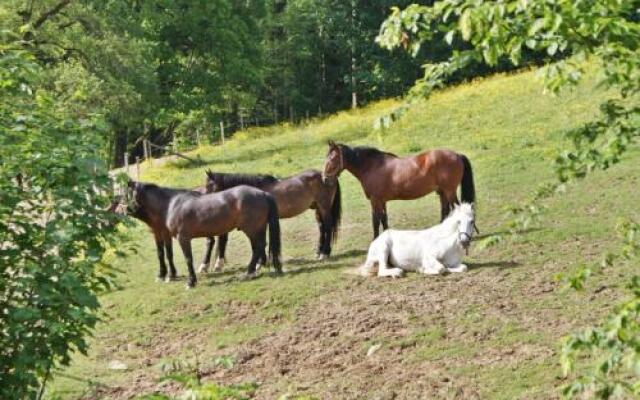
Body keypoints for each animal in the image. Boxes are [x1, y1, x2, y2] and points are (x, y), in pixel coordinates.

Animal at [199, 167, 340, 274]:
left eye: (210, 186)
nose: (206, 205)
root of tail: (326, 176)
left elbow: (258, 243)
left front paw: (259, 264)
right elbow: (259, 242)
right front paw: (262, 262)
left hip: (324, 207)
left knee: (328, 226)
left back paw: (325, 253)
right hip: (317, 208)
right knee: (322, 227)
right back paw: (319, 252)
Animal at [320, 141, 476, 238]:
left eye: (332, 158)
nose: (325, 179)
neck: (372, 167)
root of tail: (457, 155)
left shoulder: (375, 200)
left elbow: (375, 220)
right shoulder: (382, 201)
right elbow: (384, 219)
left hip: (449, 191)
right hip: (443, 192)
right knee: (445, 210)